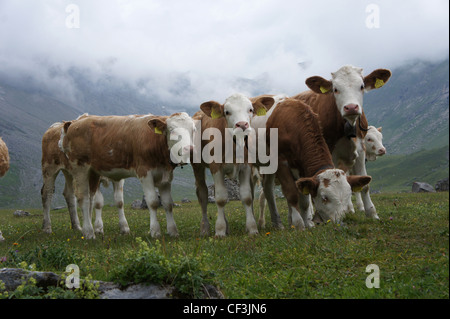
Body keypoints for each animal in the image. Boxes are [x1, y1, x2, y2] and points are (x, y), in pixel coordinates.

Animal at [59, 111, 195, 239]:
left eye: (193, 130)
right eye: (172, 131)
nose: (189, 149)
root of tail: (76, 122)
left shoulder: (165, 176)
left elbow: (168, 204)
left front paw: (173, 231)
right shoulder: (144, 172)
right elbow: (153, 202)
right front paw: (155, 231)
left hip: (93, 173)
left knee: (90, 199)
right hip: (80, 168)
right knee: (83, 198)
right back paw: (88, 232)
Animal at [191, 92, 272, 238]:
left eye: (250, 109)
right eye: (227, 112)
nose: (242, 125)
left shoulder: (245, 166)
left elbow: (246, 197)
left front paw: (252, 228)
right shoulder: (215, 167)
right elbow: (220, 198)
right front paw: (220, 230)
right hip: (197, 166)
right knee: (203, 195)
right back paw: (205, 228)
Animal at [264, 97, 372, 225]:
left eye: (349, 196)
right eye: (324, 198)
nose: (340, 223)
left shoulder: (302, 167)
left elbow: (304, 201)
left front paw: (307, 224)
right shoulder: (280, 161)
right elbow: (291, 193)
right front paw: (299, 224)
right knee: (267, 192)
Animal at [292, 65, 390, 220]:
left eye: (361, 86)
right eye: (335, 89)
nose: (351, 107)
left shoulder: (360, 151)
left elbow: (363, 184)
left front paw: (371, 213)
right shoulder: (331, 152)